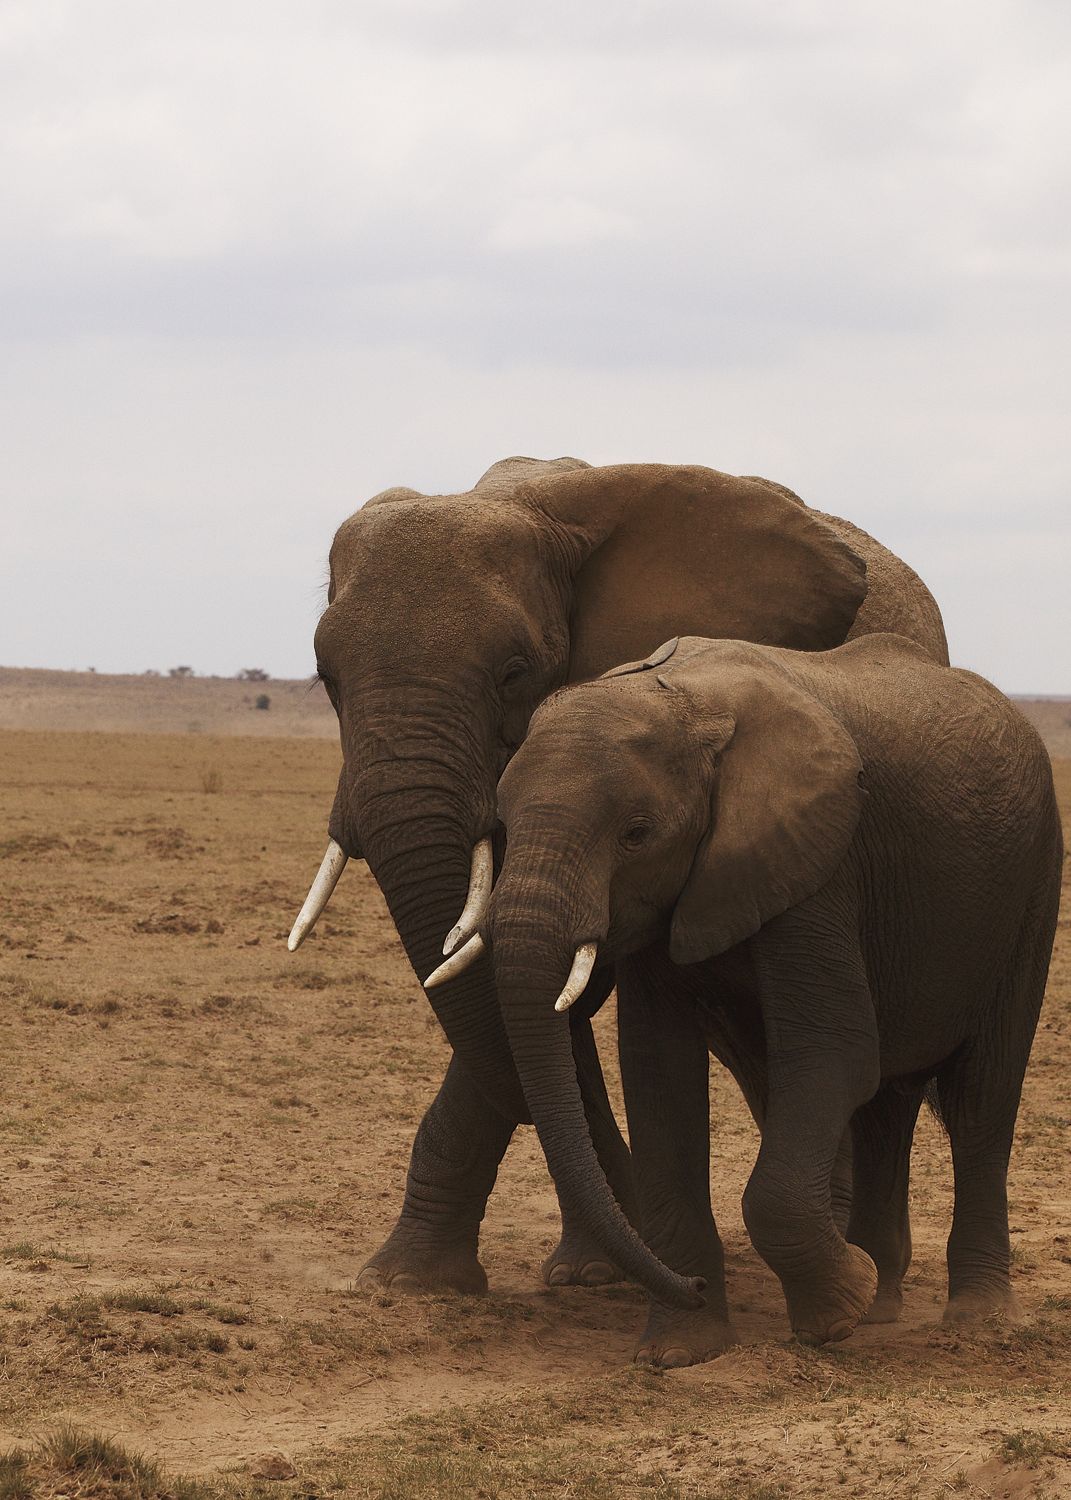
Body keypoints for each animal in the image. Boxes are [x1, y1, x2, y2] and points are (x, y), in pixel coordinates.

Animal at [444, 632, 1062, 1365]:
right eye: (503, 823)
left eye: (636, 833)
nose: (689, 1287)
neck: (688, 707)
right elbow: (658, 1074)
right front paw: (679, 1351)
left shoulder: (819, 866)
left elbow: (833, 1055)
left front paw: (834, 1315)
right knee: (887, 1106)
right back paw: (882, 1302)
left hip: (1032, 884)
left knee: (979, 1102)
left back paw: (974, 1319)